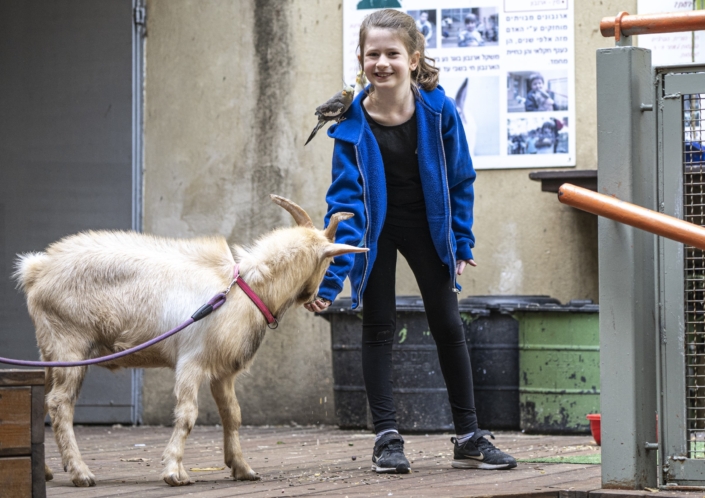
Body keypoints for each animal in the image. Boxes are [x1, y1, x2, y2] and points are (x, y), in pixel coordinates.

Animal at [13, 195, 366, 486]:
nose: (317, 298)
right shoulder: (191, 363)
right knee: (60, 403)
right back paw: (81, 473)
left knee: (42, 395)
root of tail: (37, 270)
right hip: (70, 344)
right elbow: (187, 415)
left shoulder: (223, 371)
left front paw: (242, 468)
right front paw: (174, 472)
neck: (245, 289)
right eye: (329, 261)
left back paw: (46, 470)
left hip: (51, 351)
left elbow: (233, 415)